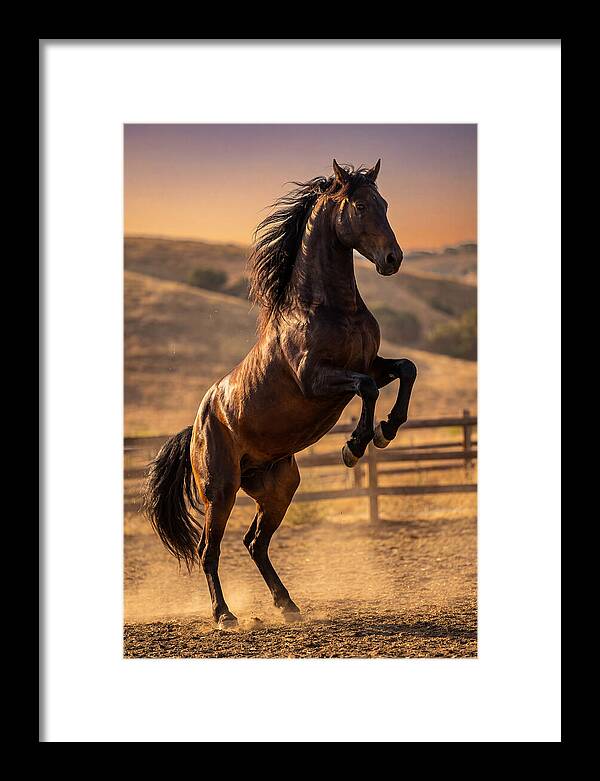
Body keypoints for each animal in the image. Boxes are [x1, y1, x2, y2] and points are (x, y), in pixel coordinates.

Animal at [143, 159, 417, 629]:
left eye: (384, 203)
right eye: (360, 205)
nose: (392, 259)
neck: (328, 308)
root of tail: (196, 424)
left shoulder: (370, 364)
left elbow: (405, 370)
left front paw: (387, 429)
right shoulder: (316, 379)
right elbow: (365, 390)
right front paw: (354, 446)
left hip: (278, 487)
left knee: (255, 542)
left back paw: (287, 605)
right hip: (221, 490)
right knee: (208, 549)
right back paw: (224, 615)